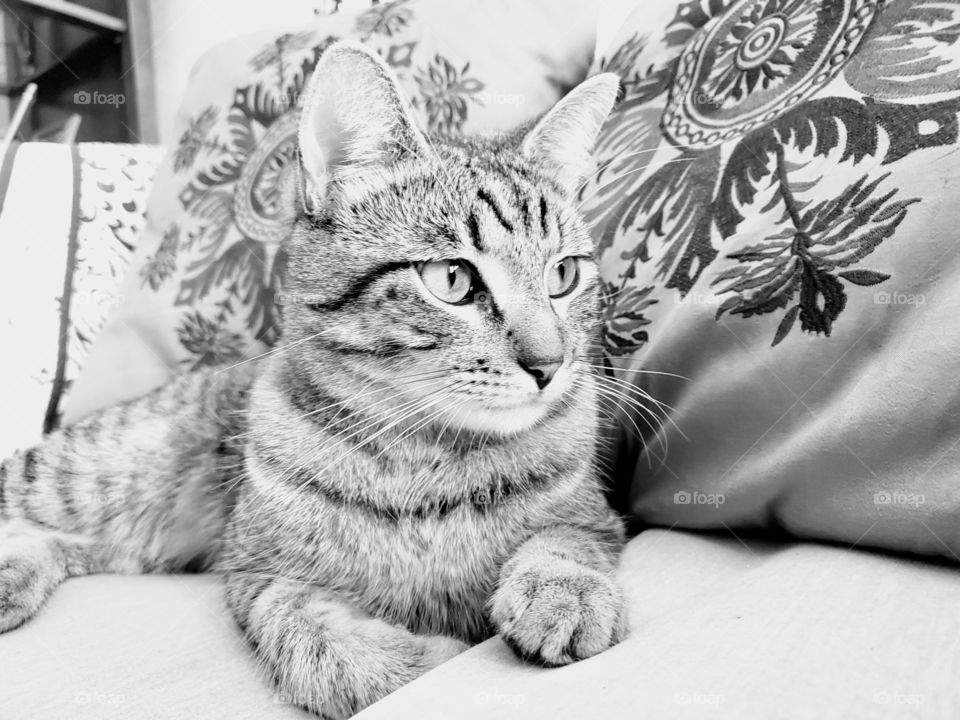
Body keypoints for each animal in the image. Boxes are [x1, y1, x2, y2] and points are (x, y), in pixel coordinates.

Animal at [0, 42, 628, 716]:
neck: (424, 462)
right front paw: (432, 656)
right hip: (86, 477)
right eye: (453, 279)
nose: (550, 364)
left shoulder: (599, 521)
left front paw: (562, 592)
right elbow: (333, 652)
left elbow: (563, 541)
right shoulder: (261, 575)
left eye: (563, 274)